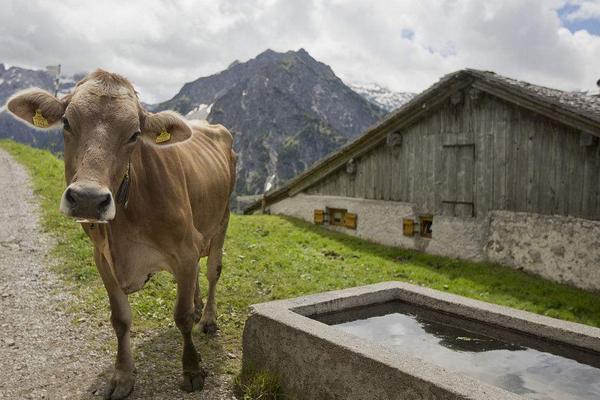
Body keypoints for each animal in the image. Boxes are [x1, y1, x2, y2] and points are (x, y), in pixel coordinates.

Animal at [7, 70, 237, 398]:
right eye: (67, 122)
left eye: (134, 135)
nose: (88, 198)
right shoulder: (103, 259)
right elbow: (120, 320)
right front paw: (122, 376)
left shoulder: (184, 250)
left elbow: (180, 317)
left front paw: (192, 370)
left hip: (221, 221)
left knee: (212, 271)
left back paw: (206, 318)